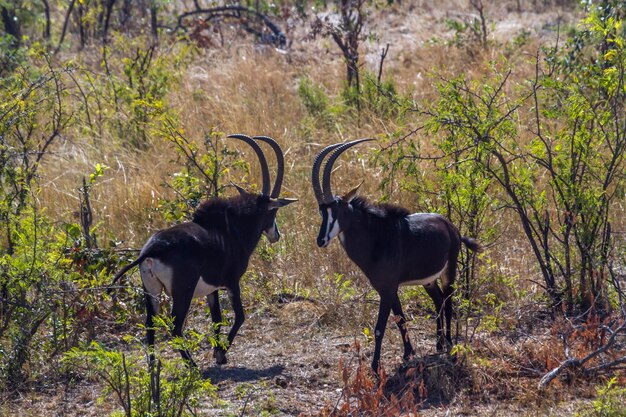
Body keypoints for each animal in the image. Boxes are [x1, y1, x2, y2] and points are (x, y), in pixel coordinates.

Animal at [108, 133, 296, 364]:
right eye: (272, 212)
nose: (276, 235)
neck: (231, 227)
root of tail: (151, 250)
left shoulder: (211, 289)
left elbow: (217, 318)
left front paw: (218, 353)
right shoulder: (232, 282)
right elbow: (239, 316)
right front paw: (221, 353)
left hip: (151, 291)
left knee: (150, 325)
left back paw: (153, 367)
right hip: (183, 291)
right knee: (175, 326)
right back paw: (192, 365)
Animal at [312, 138, 482, 372]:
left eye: (336, 211)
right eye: (322, 211)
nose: (321, 240)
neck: (376, 237)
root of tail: (452, 227)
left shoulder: (387, 289)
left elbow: (379, 328)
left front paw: (375, 367)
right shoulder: (387, 288)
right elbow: (400, 318)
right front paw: (408, 353)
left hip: (450, 270)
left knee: (448, 302)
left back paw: (449, 344)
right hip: (428, 281)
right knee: (438, 300)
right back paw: (439, 344)